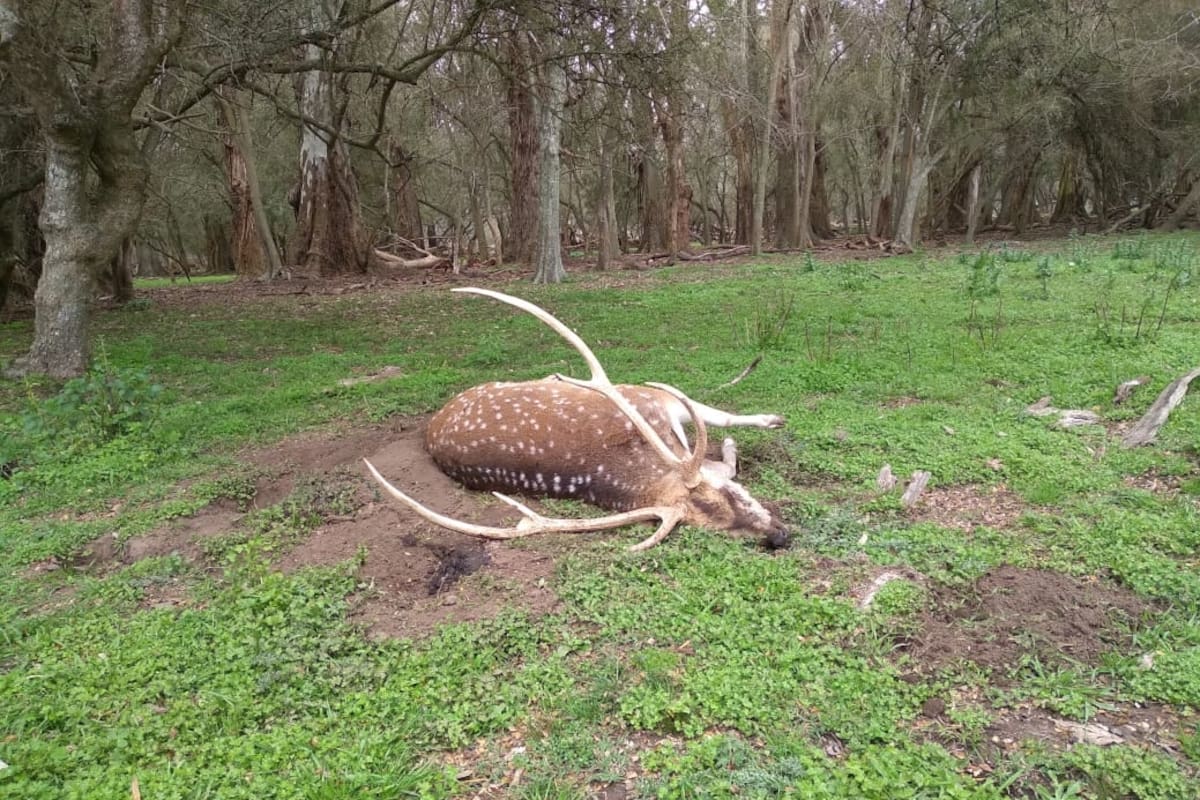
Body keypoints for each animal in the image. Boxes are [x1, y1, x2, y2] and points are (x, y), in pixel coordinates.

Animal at [364, 287, 789, 551]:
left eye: (733, 498)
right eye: (719, 521)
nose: (780, 535)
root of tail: (432, 425)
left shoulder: (655, 403)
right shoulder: (652, 399)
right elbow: (723, 434)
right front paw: (768, 422)